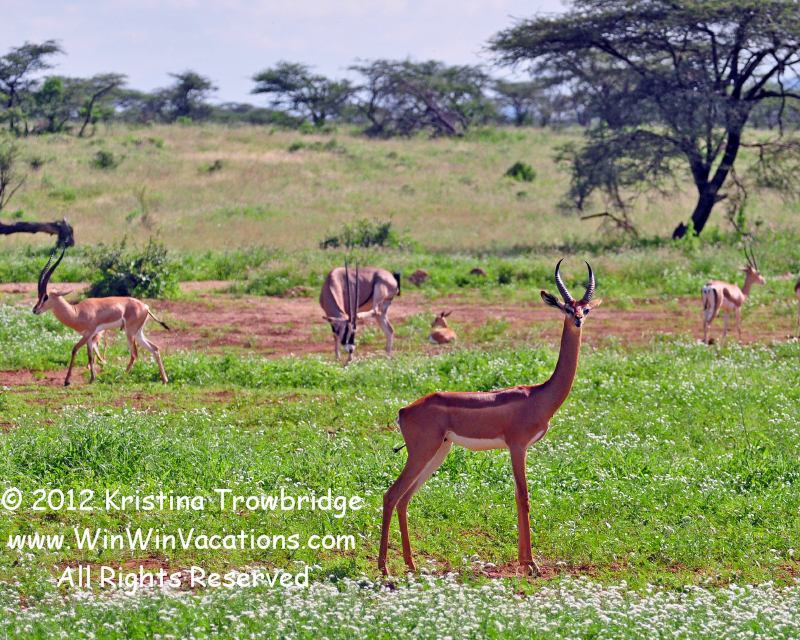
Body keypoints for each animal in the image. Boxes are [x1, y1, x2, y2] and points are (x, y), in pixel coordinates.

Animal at [32, 245, 170, 386]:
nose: (35, 310)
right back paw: (164, 380)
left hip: (130, 333)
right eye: (39, 295)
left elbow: (74, 349)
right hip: (138, 333)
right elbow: (89, 354)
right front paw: (93, 378)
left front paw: (67, 381)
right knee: (154, 348)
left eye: (46, 297)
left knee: (134, 355)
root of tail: (146, 307)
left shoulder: (88, 333)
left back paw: (121, 380)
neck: (77, 312)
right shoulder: (89, 336)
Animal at [378, 260, 601, 576]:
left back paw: (411, 564)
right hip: (422, 453)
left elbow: (519, 497)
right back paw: (384, 568)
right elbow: (523, 497)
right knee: (390, 495)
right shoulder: (517, 447)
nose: (579, 320)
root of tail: (403, 411)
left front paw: (525, 562)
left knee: (404, 499)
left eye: (586, 308)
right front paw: (531, 565)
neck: (540, 395)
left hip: (438, 452)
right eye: (567, 308)